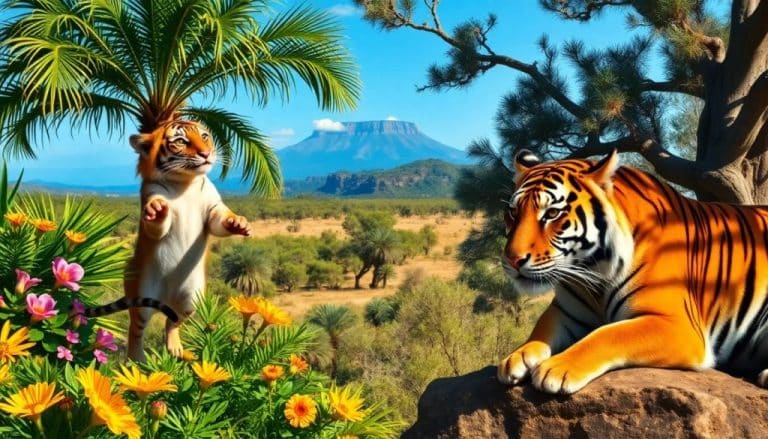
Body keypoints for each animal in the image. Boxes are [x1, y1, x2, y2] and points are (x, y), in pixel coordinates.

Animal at [107, 119, 252, 361]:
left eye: (204, 136)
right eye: (181, 141)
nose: (206, 153)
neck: (185, 183)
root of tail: (166, 299)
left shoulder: (213, 208)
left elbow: (220, 221)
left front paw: (239, 223)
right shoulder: (151, 199)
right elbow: (157, 223)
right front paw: (157, 210)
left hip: (191, 299)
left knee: (172, 321)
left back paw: (175, 347)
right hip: (142, 295)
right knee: (136, 328)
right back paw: (136, 359)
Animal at [497, 148, 768, 394]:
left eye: (552, 213)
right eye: (513, 212)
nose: (512, 259)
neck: (593, 273)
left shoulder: (676, 324)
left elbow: (607, 334)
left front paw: (557, 368)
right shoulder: (566, 311)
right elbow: (541, 328)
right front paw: (515, 358)